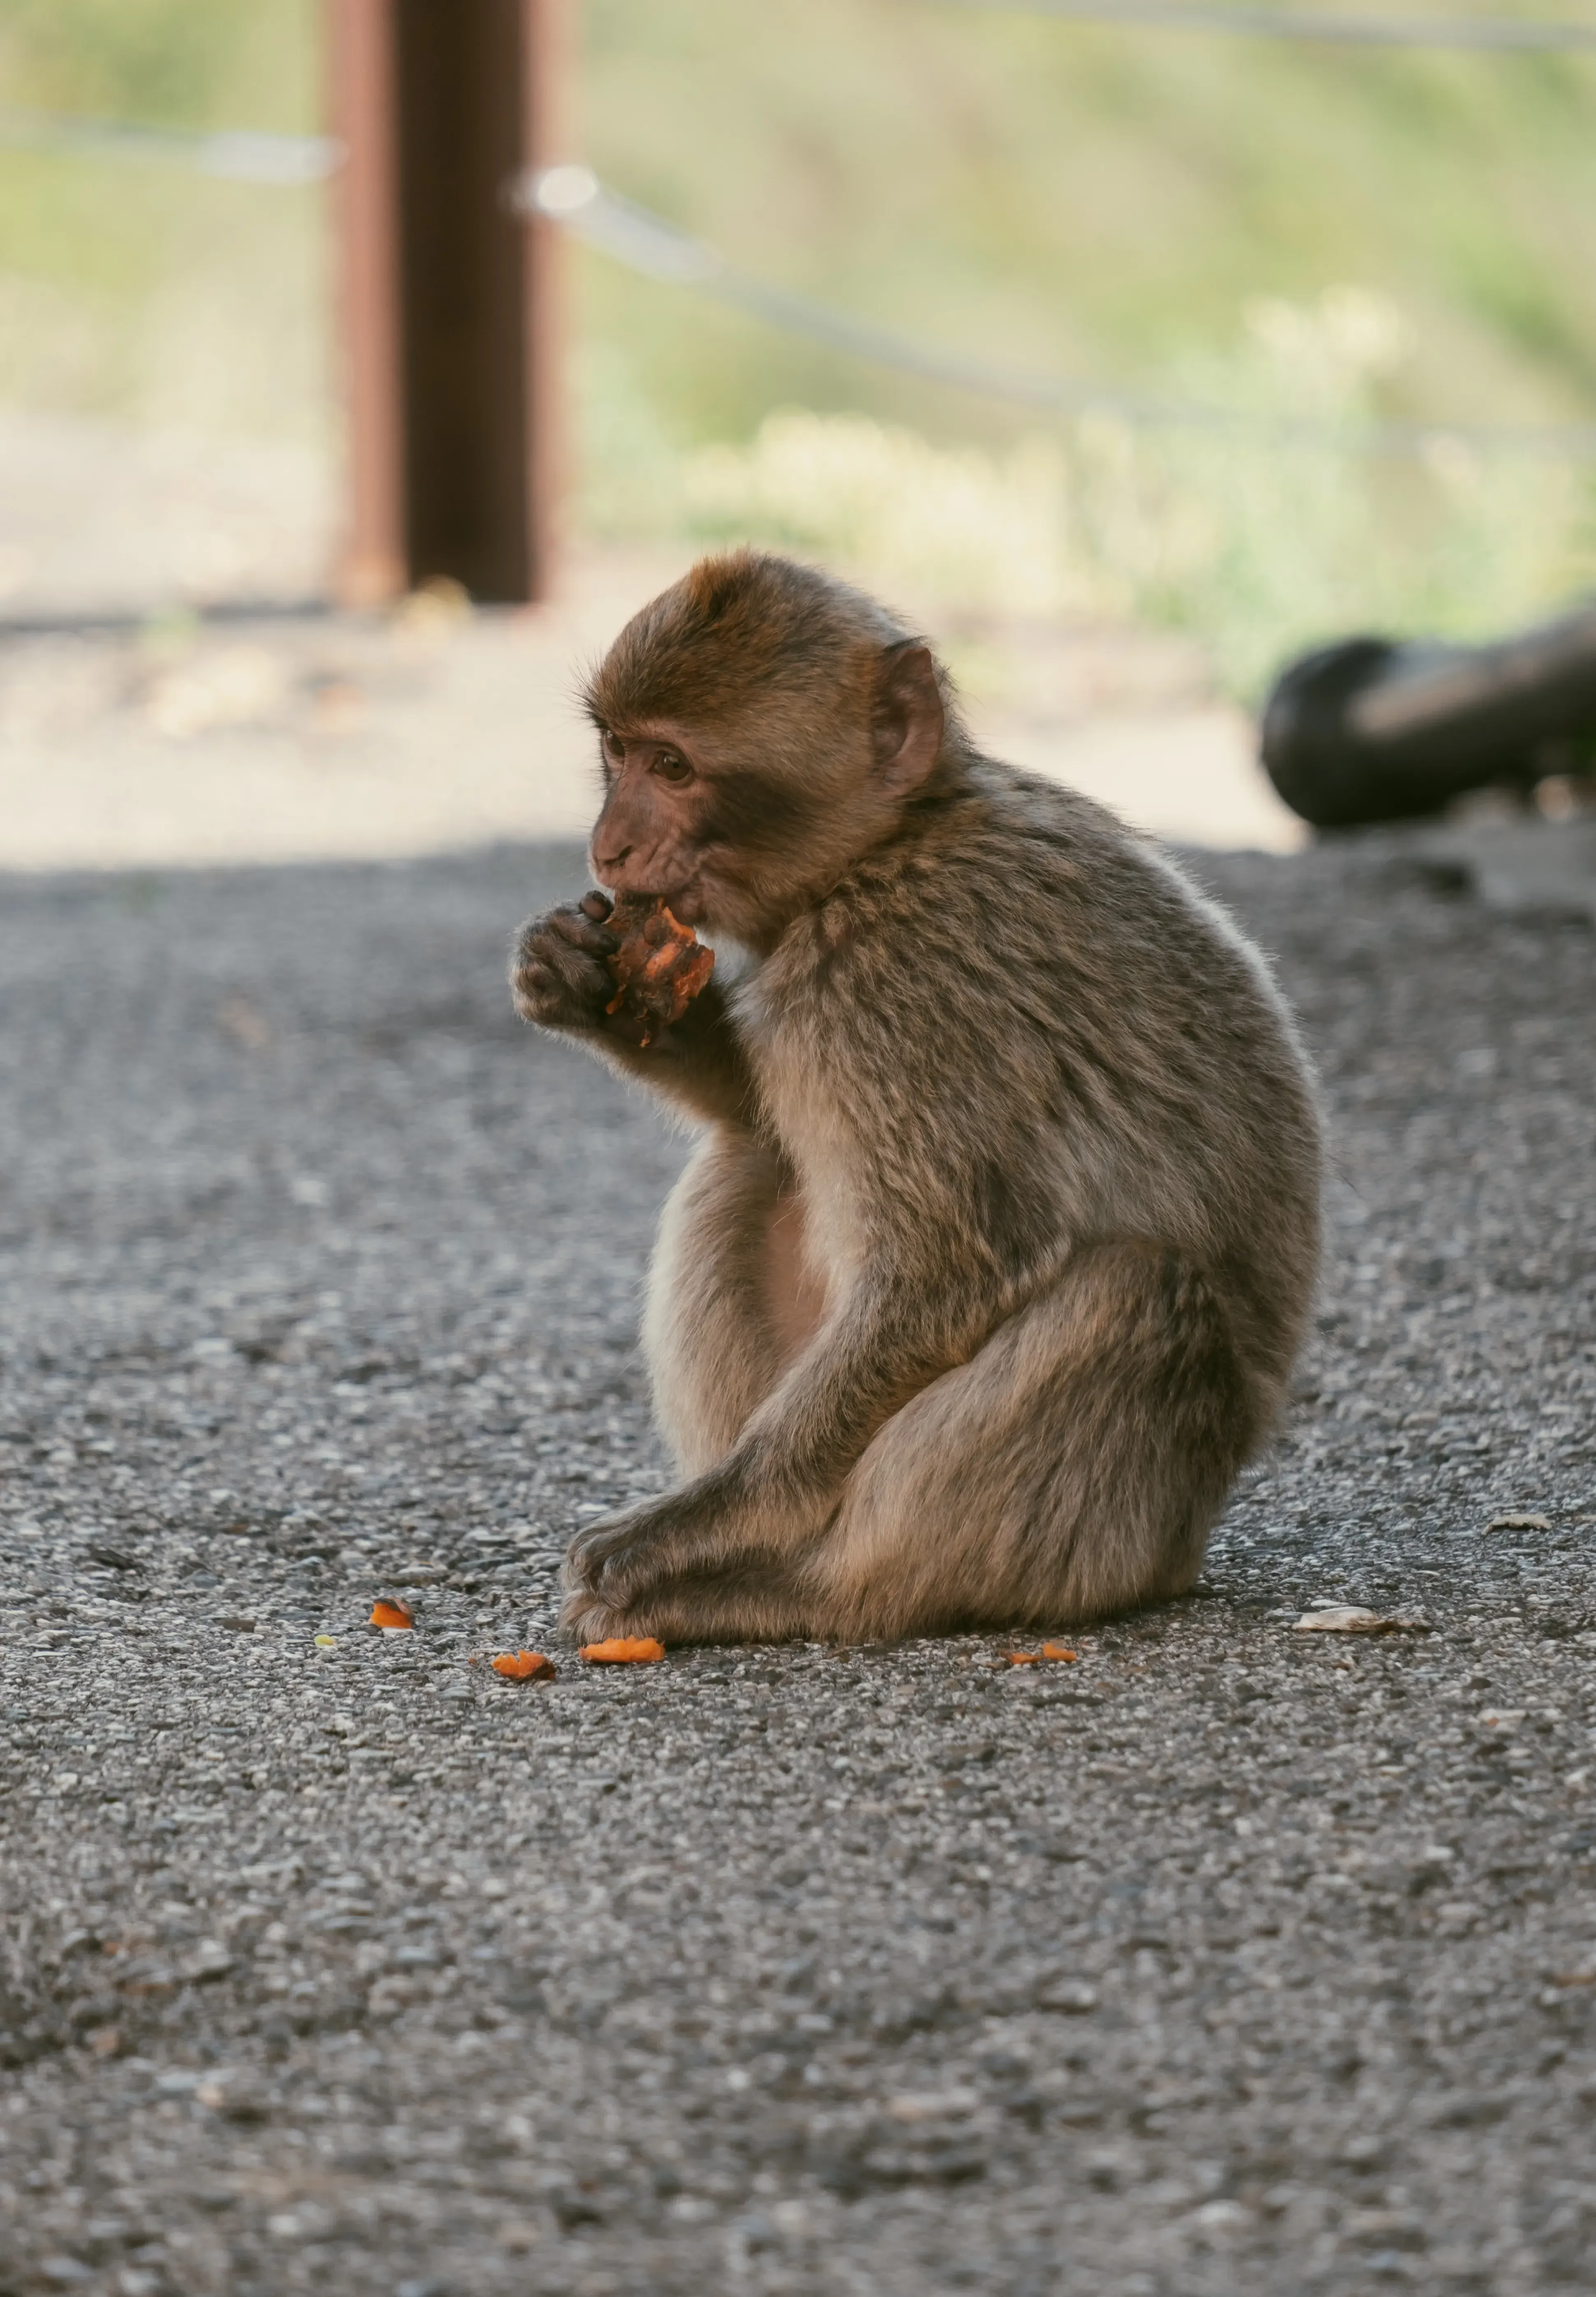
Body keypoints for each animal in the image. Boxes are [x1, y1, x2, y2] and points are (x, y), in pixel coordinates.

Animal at [510, 550, 1322, 1647]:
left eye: (673, 768)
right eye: (617, 750)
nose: (609, 846)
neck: (885, 849)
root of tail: (1182, 1556)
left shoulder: (894, 988)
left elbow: (948, 1271)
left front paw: (699, 1519)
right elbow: (762, 1111)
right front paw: (583, 981)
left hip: (1118, 1527)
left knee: (1136, 1292)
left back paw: (798, 1588)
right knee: (751, 1163)